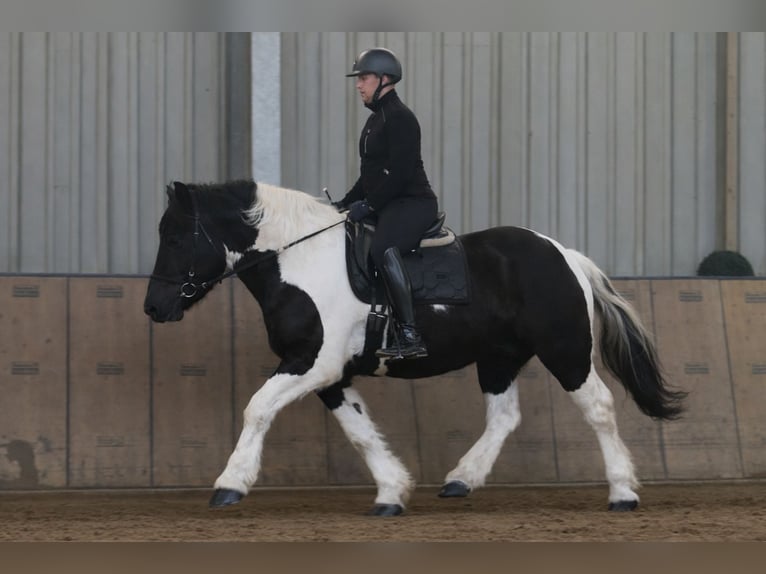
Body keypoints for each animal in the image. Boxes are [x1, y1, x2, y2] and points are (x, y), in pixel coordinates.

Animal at [143, 179, 685, 516]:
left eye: (175, 237)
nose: (153, 307)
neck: (299, 261)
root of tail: (563, 253)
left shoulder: (311, 364)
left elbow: (257, 408)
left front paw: (230, 484)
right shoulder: (331, 375)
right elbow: (360, 433)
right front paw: (391, 492)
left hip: (565, 350)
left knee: (598, 407)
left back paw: (622, 492)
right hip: (499, 357)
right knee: (504, 417)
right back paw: (461, 478)